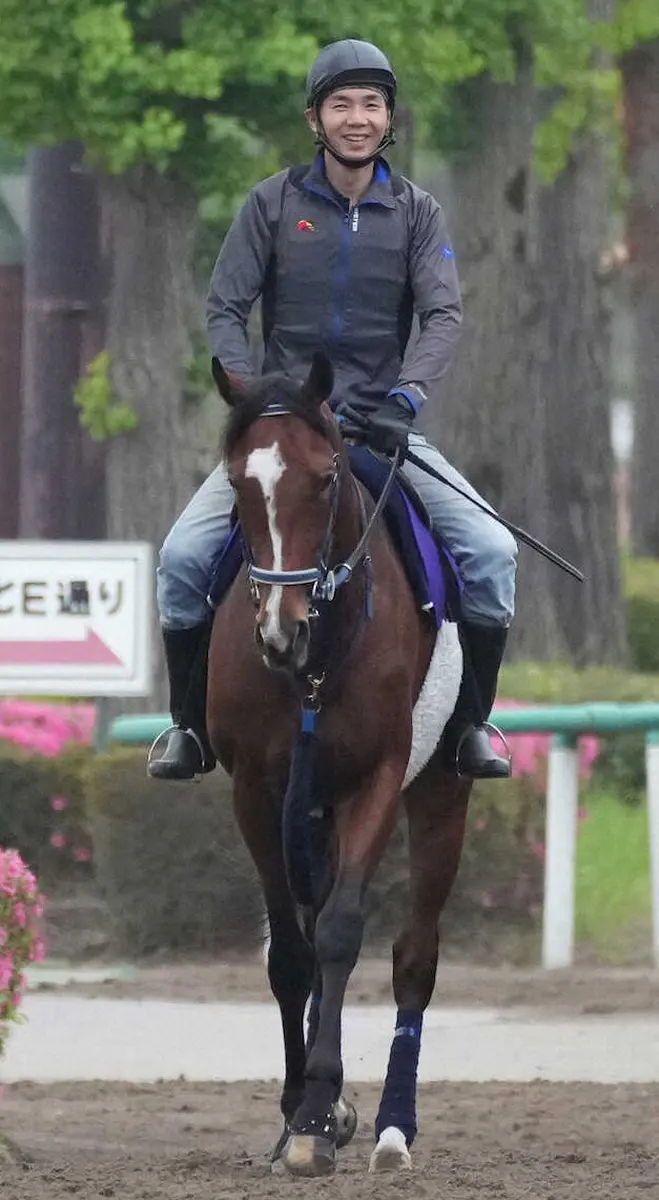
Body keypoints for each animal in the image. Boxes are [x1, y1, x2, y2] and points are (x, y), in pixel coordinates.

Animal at [207, 350, 470, 1176]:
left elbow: (340, 932)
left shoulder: (377, 777)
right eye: (237, 482)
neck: (318, 658)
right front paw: (302, 1112)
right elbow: (291, 952)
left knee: (413, 955)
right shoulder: (257, 791)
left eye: (324, 481)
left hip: (442, 790)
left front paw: (321, 1108)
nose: (278, 631)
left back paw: (391, 1128)